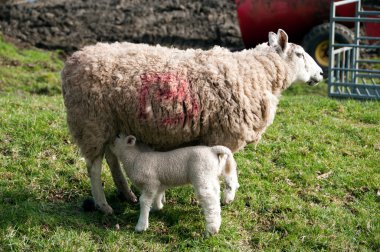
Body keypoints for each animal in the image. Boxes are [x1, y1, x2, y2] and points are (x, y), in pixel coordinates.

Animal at [62, 28, 324, 214]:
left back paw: (127, 194)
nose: (321, 73)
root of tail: (73, 60)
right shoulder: (224, 132)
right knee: (94, 166)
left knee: (111, 157)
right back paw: (102, 204)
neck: (256, 73)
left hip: (109, 122)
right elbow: (228, 167)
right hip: (91, 120)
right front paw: (227, 196)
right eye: (300, 54)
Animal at [110, 135, 239, 233]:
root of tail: (212, 150)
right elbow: (158, 195)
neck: (133, 159)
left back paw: (212, 228)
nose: (109, 141)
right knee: (215, 194)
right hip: (210, 176)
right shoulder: (158, 183)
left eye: (117, 137)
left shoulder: (150, 183)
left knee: (209, 198)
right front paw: (157, 207)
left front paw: (141, 225)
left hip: (202, 174)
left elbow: (144, 201)